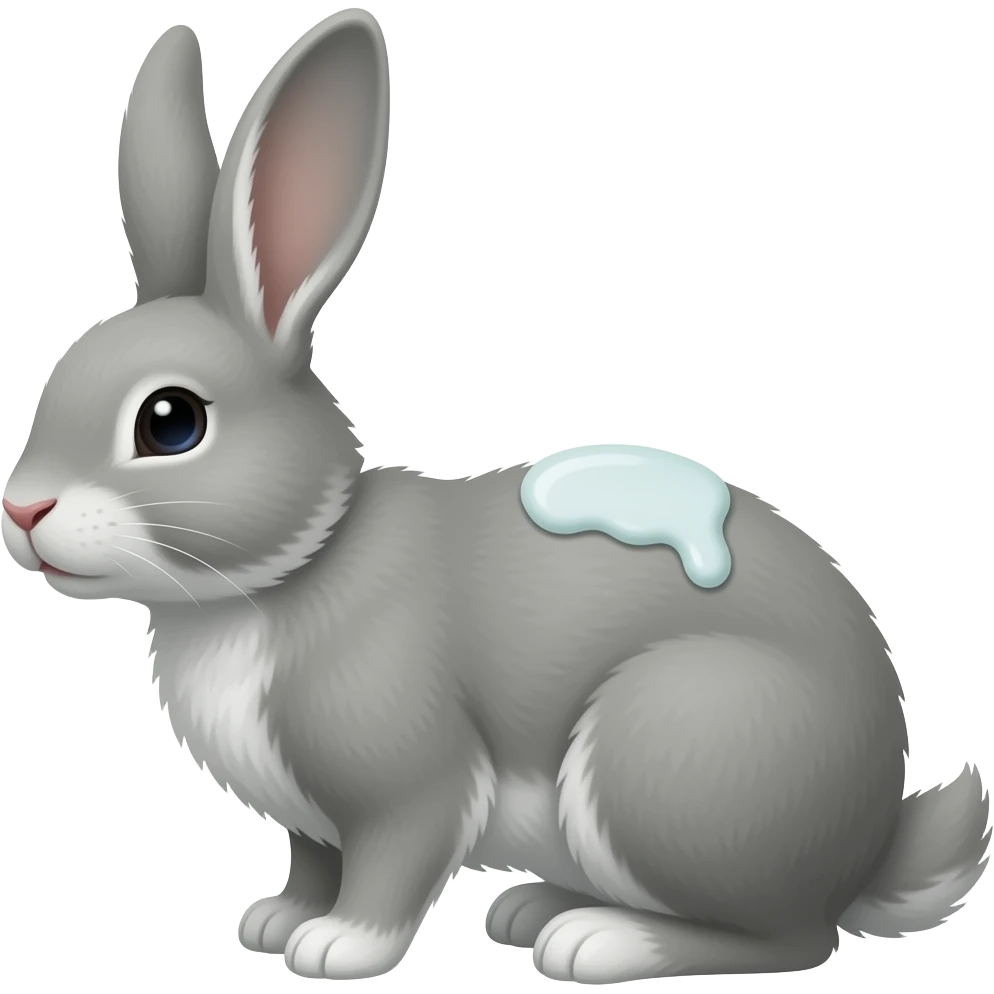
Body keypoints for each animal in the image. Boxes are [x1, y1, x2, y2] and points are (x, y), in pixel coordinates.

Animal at [2, 10, 990, 985]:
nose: (23, 513)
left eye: (170, 422)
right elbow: (312, 861)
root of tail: (870, 845)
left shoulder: (410, 781)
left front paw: (338, 947)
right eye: (58, 375)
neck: (291, 571)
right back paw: (531, 909)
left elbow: (393, 862)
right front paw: (275, 921)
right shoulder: (311, 820)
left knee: (789, 940)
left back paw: (595, 941)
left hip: (666, 747)